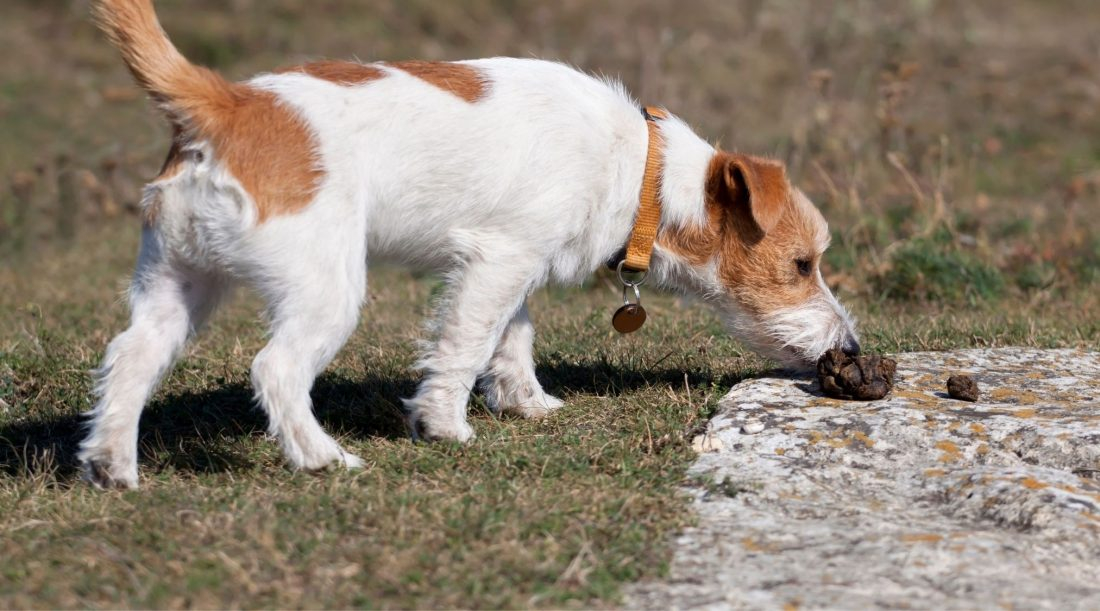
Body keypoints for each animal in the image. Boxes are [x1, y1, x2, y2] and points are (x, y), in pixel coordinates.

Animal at [81, 0, 862, 488]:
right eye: (803, 264)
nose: (852, 348)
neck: (642, 169)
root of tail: (224, 103)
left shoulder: (508, 264)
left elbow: (511, 338)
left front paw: (528, 403)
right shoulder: (499, 262)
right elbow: (463, 346)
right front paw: (445, 425)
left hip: (177, 281)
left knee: (129, 358)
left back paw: (113, 466)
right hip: (326, 289)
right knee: (275, 369)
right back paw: (322, 458)